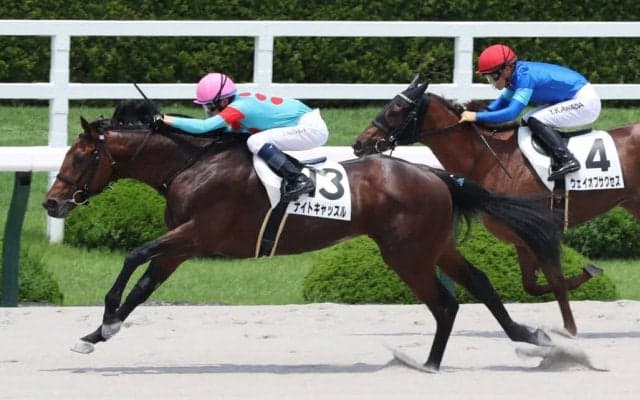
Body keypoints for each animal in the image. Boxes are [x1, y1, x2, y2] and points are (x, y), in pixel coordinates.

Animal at [43, 100, 560, 371]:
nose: (51, 203)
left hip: (406, 254)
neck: (192, 165)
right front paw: (94, 334)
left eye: (80, 156)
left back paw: (430, 364)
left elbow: (134, 256)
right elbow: (144, 288)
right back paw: (526, 336)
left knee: (446, 302)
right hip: (434, 246)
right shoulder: (181, 246)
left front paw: (105, 321)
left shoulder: (197, 234)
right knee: (479, 285)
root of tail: (435, 175)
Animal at [352, 77, 635, 335]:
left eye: (396, 109)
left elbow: (554, 279)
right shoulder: (521, 236)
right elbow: (532, 285)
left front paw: (570, 330)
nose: (359, 143)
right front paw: (588, 274)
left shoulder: (539, 232)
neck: (491, 158)